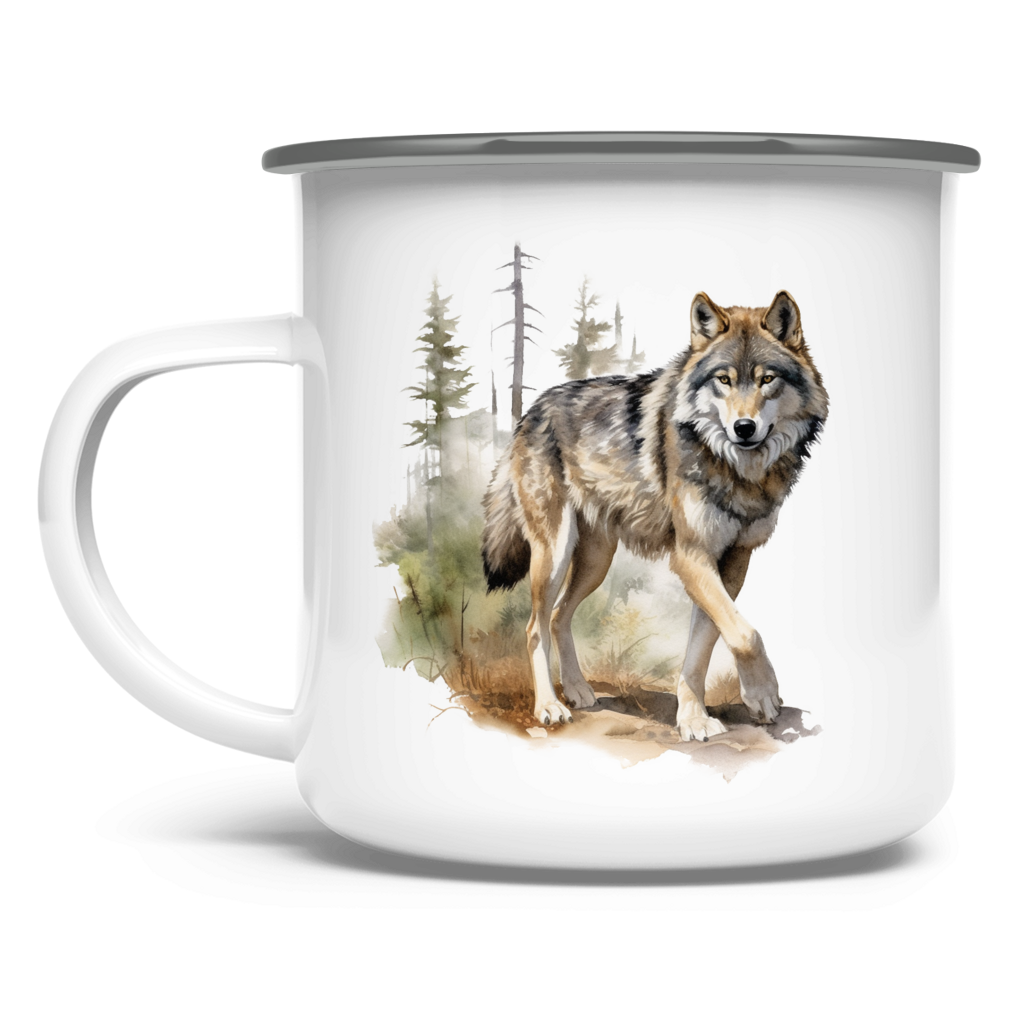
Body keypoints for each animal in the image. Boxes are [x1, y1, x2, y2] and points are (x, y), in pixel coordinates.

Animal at [481, 289, 829, 741]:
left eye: (767, 379)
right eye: (724, 380)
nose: (744, 427)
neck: (737, 471)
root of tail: (531, 409)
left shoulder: (733, 562)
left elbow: (708, 643)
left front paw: (693, 718)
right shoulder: (691, 556)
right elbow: (747, 634)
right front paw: (764, 693)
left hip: (595, 561)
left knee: (558, 617)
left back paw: (577, 690)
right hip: (554, 554)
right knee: (535, 627)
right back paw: (549, 706)